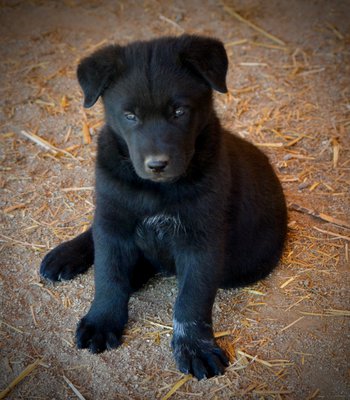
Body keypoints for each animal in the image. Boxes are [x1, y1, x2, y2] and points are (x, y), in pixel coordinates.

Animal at [41, 33, 288, 378]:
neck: (155, 190)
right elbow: (108, 275)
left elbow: (191, 300)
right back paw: (65, 255)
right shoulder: (113, 220)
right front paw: (102, 321)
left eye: (179, 112)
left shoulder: (202, 240)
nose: (157, 164)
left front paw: (195, 347)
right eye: (130, 116)